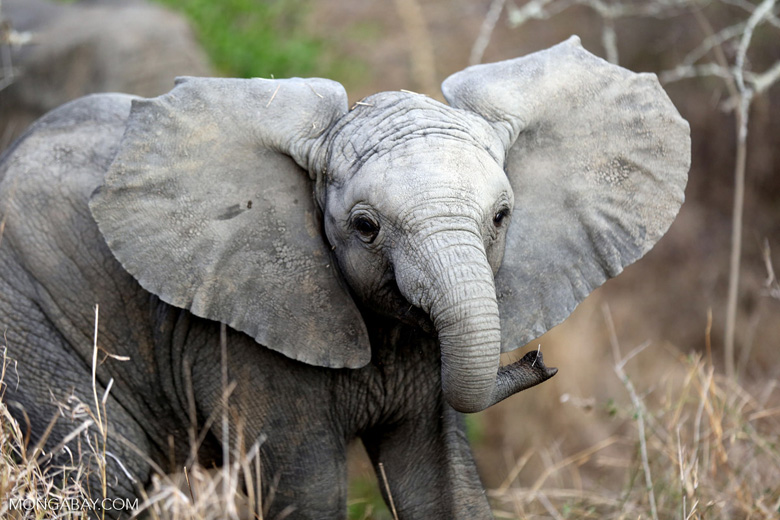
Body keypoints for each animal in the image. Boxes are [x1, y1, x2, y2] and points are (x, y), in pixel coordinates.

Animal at [0, 37, 684, 520]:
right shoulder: (246, 339)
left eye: (501, 217)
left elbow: (441, 484)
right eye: (365, 226)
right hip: (28, 327)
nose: (539, 361)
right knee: (100, 467)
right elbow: (307, 491)